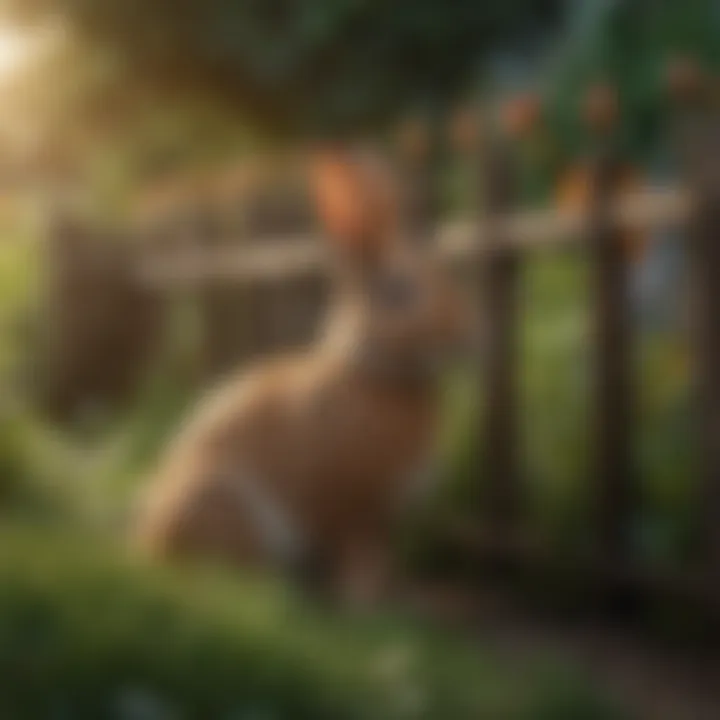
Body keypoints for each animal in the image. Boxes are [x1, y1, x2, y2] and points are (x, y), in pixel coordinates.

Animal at [131, 146, 478, 608]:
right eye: (398, 291)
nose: (468, 333)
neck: (373, 374)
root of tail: (150, 544)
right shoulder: (354, 512)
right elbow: (361, 560)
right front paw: (365, 602)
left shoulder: (380, 523)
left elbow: (384, 561)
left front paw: (402, 594)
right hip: (226, 505)